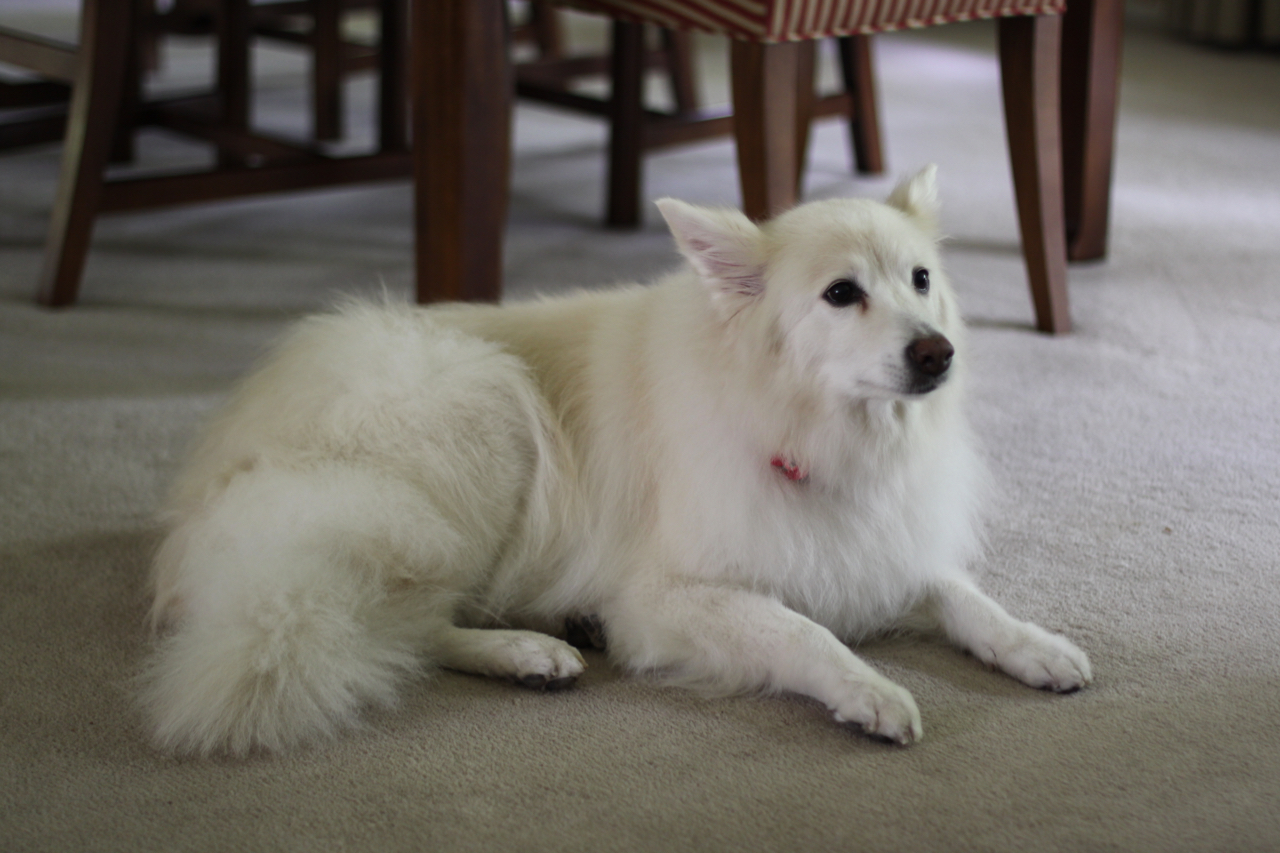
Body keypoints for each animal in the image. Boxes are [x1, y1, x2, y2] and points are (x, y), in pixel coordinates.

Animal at [140, 166, 1090, 753]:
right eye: (841, 293)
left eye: (921, 279)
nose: (937, 353)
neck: (818, 429)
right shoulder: (668, 596)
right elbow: (800, 630)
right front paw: (870, 690)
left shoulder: (879, 543)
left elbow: (962, 595)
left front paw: (1035, 645)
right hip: (483, 423)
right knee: (398, 623)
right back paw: (527, 650)